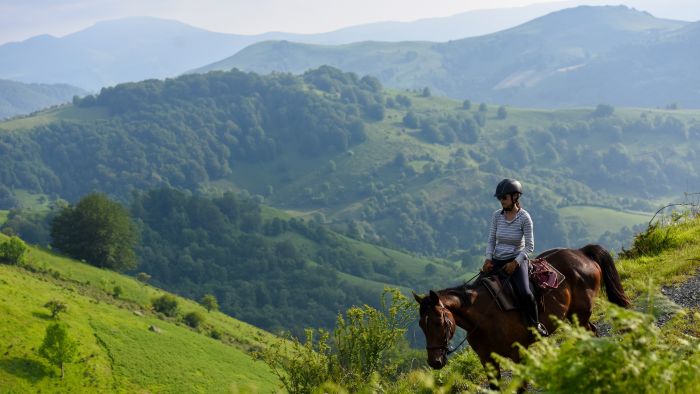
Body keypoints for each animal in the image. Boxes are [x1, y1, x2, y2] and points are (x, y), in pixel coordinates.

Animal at [412, 246, 632, 378]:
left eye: (441, 322)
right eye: (421, 325)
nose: (435, 362)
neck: (483, 317)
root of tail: (582, 253)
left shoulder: (519, 353)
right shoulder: (488, 361)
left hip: (581, 313)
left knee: (591, 331)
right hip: (573, 316)